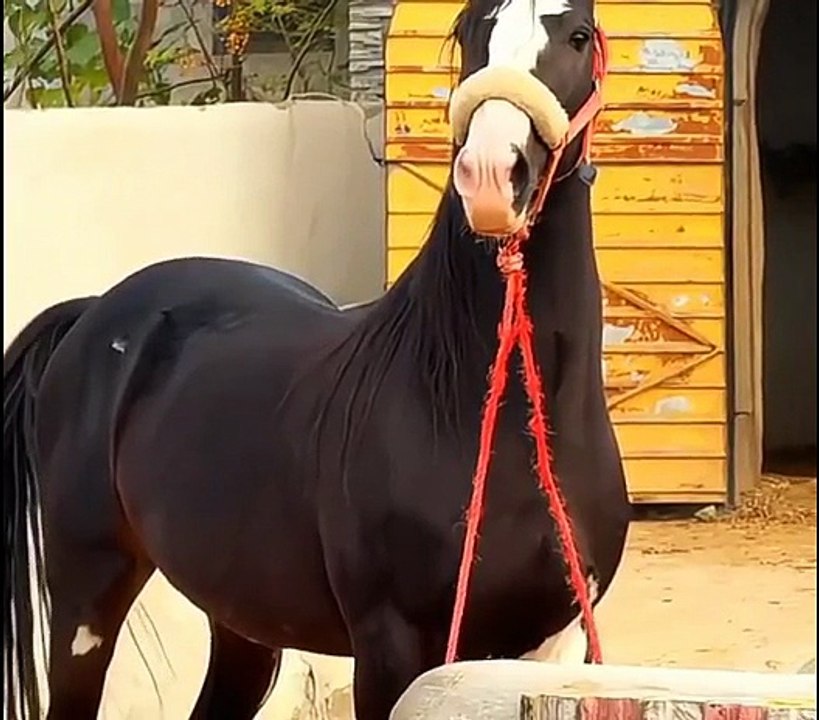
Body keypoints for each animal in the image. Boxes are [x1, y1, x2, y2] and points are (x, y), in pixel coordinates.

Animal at [2, 0, 631, 716]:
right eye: (472, 31)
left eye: (578, 36)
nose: (494, 177)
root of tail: (95, 311)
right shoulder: (390, 645)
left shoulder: (555, 645)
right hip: (87, 596)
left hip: (243, 616)